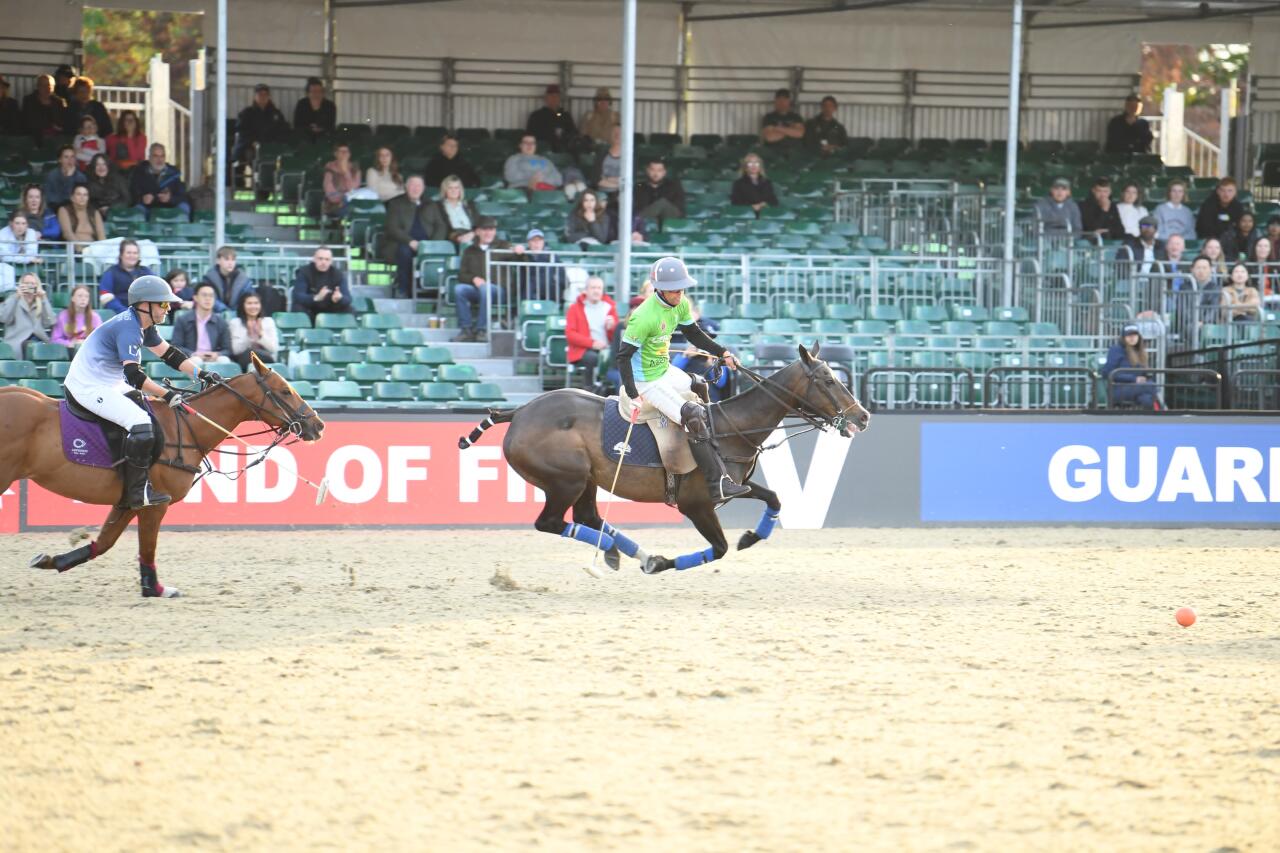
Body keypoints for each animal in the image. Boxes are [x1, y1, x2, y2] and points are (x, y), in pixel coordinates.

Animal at [0, 356, 325, 594]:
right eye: (285, 391)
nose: (318, 425)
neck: (185, 429)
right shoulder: (156, 503)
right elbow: (148, 547)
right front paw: (154, 588)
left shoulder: (129, 501)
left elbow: (104, 543)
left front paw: (49, 560)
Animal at [460, 343, 870, 573]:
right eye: (828, 380)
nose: (863, 416)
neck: (731, 427)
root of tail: (520, 411)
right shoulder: (697, 503)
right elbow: (719, 549)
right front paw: (665, 563)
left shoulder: (732, 486)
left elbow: (774, 498)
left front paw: (752, 536)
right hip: (565, 479)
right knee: (550, 522)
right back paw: (627, 554)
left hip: (587, 480)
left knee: (588, 517)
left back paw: (626, 554)